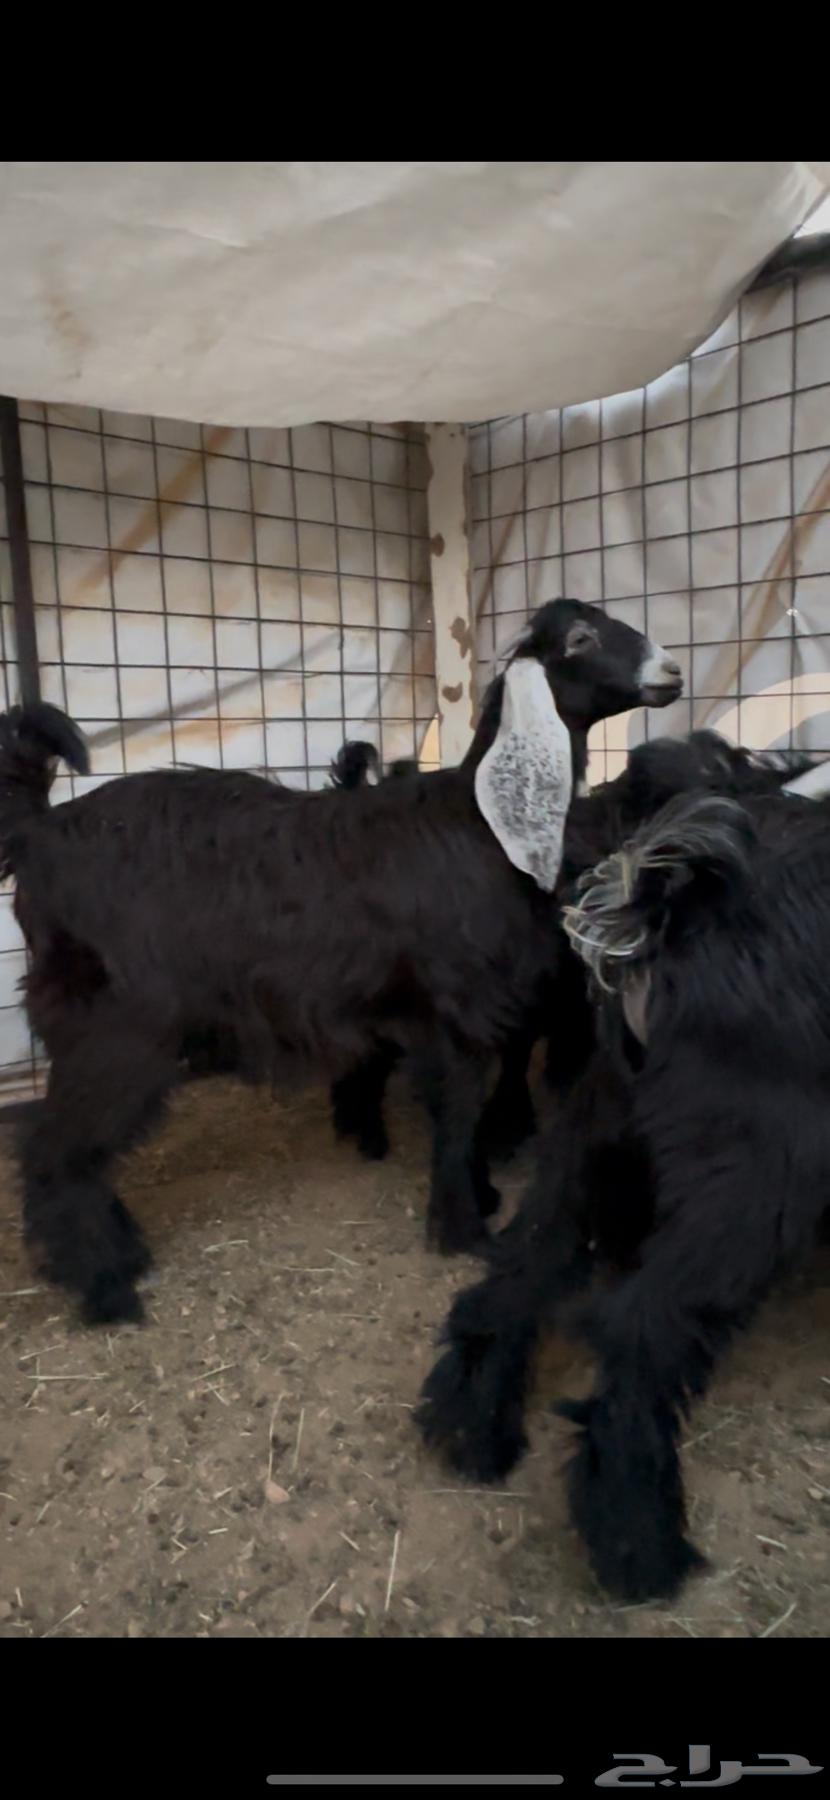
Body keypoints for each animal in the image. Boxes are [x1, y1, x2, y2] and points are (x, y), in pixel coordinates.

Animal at [0, 598, 682, 1325]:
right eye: (580, 639)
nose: (671, 672)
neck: (478, 826)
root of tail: (35, 832)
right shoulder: (452, 1011)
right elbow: (458, 1116)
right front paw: (464, 1230)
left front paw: (475, 1203)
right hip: (116, 1023)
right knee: (55, 1151)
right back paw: (106, 1287)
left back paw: (123, 1255)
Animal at [416, 733, 828, 1602]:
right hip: (757, 1184)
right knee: (640, 1333)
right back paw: (640, 1543)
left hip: (590, 1134)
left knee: (515, 1275)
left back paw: (473, 1429)